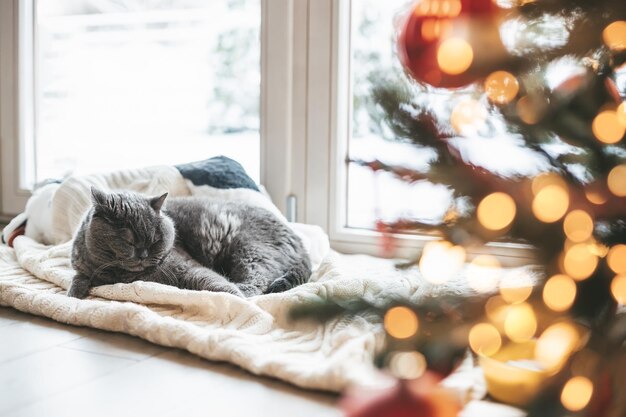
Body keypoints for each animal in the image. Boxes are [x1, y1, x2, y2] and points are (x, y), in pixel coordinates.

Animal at [67, 187, 310, 298]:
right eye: (128, 241)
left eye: (155, 240)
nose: (143, 255)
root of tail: (298, 240)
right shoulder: (83, 266)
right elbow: (79, 278)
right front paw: (73, 296)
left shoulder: (188, 266)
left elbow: (216, 282)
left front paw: (234, 297)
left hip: (250, 250)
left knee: (258, 282)